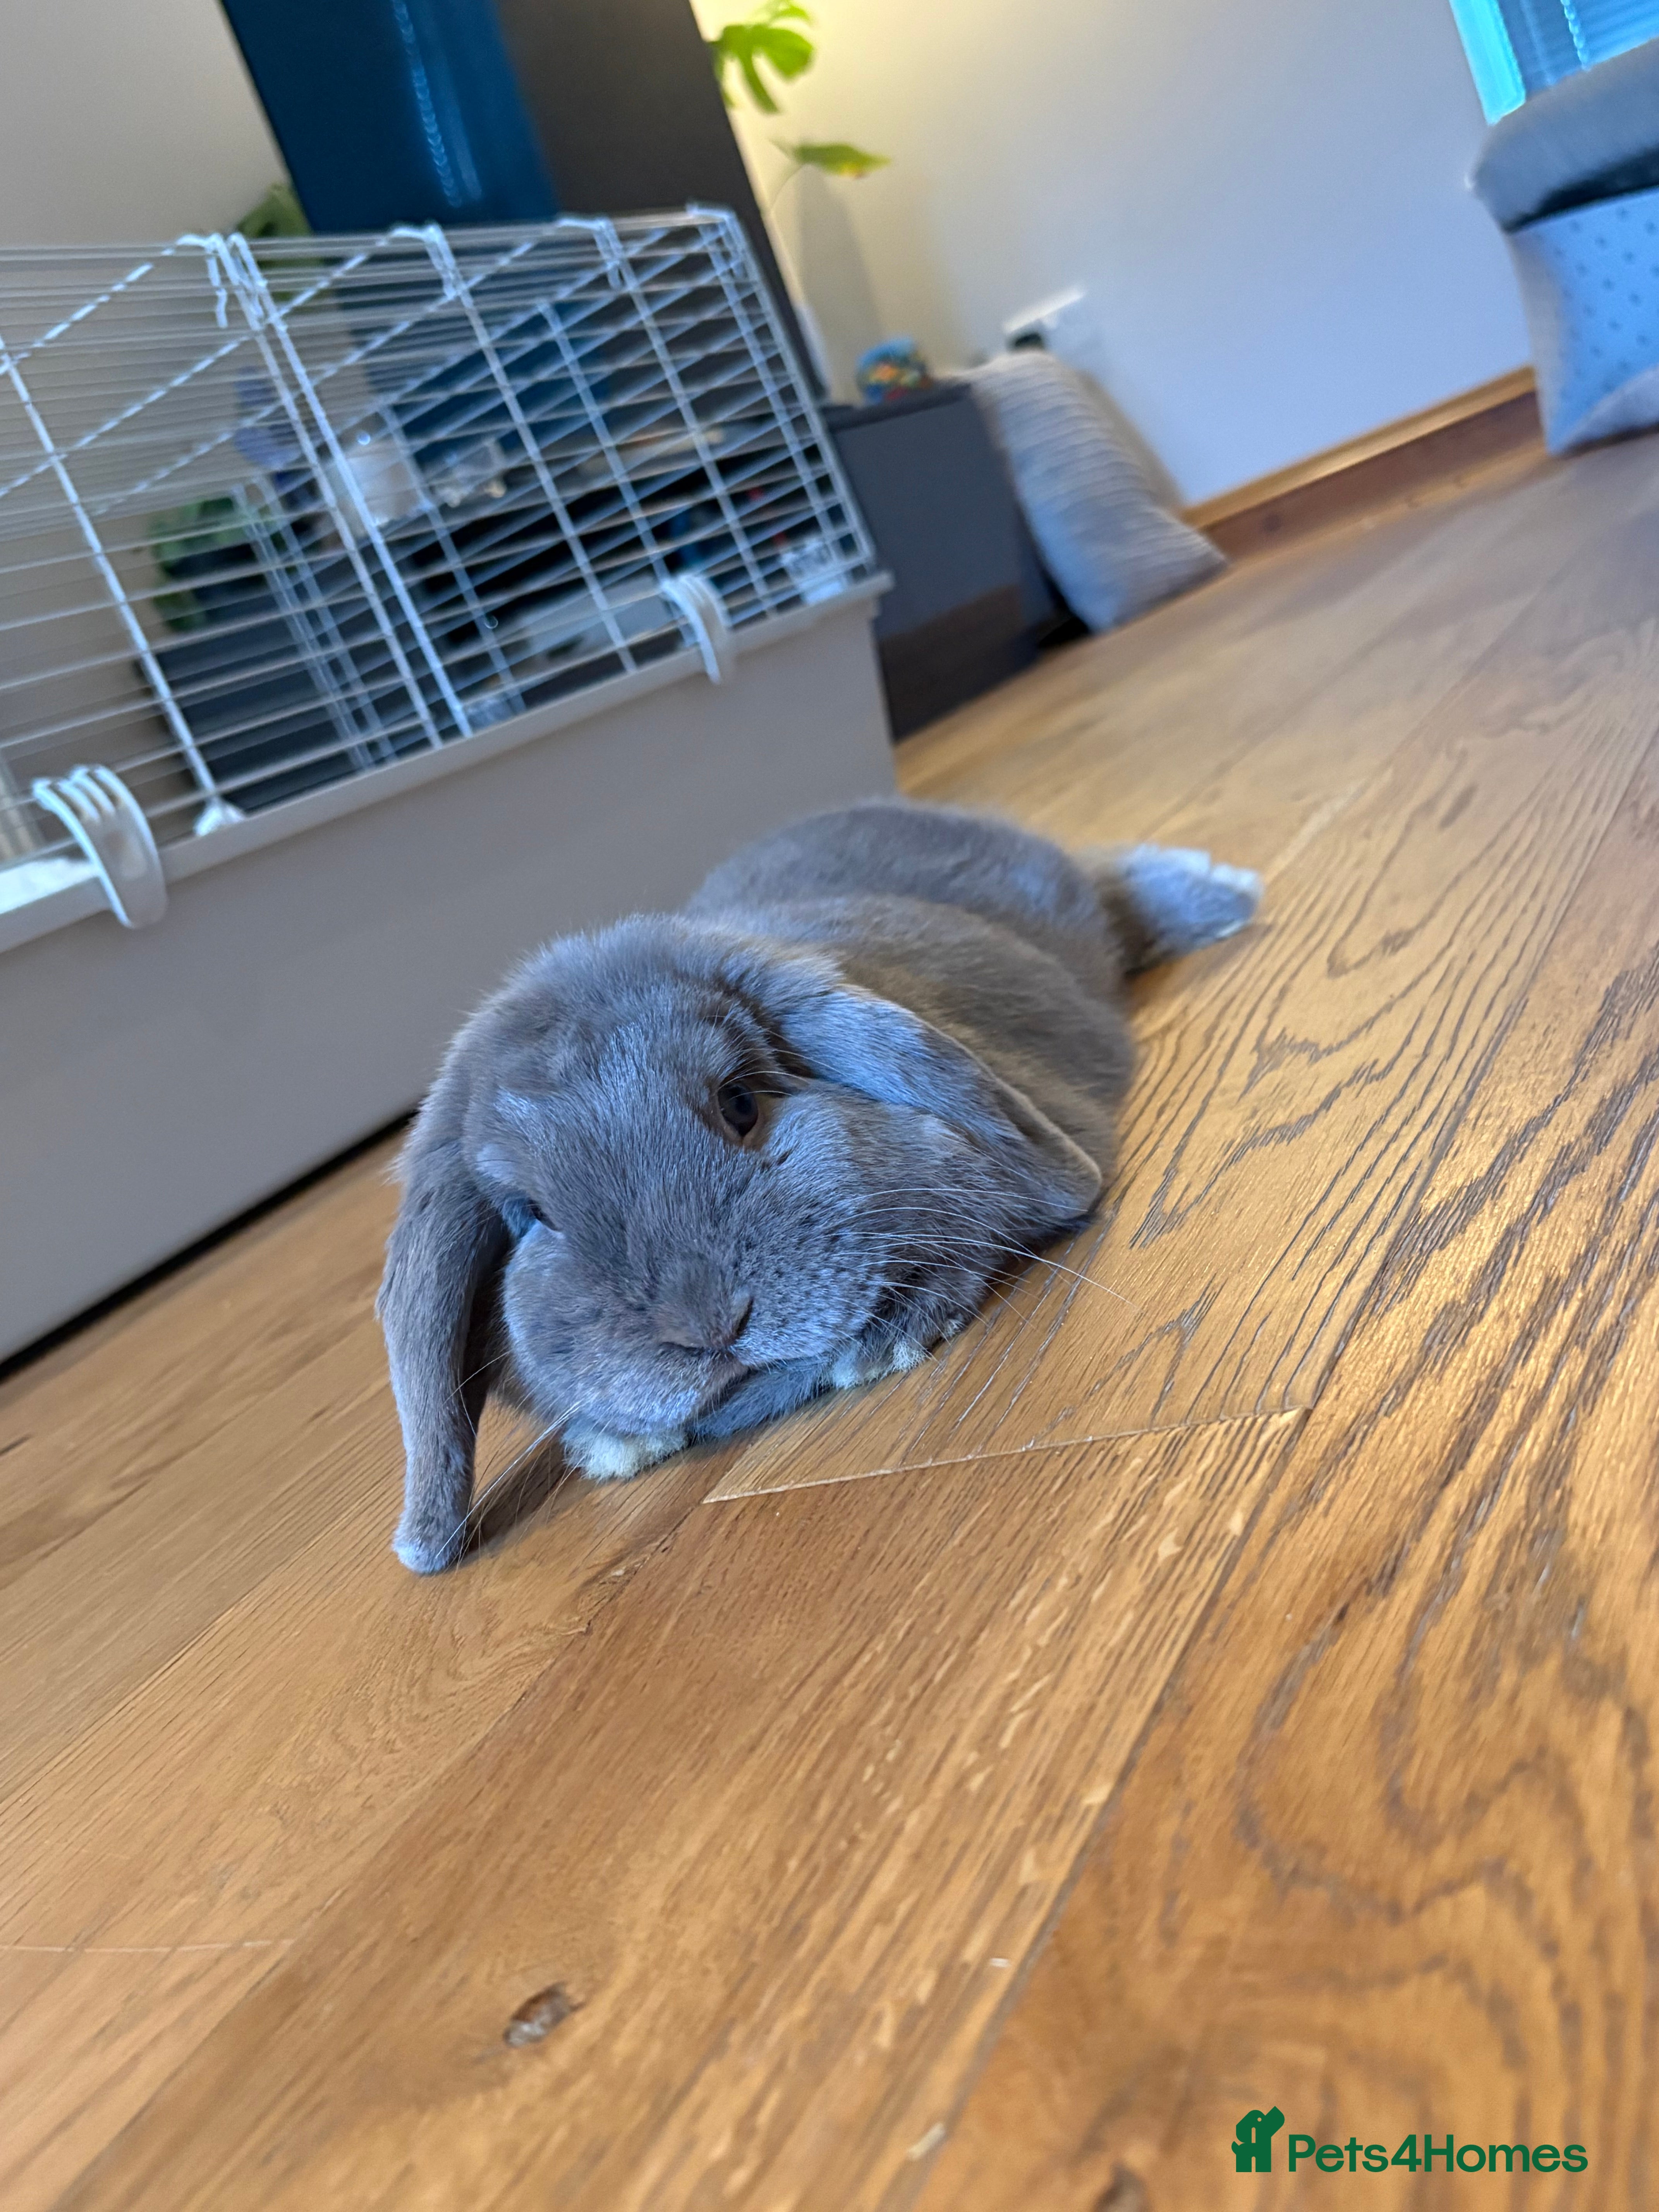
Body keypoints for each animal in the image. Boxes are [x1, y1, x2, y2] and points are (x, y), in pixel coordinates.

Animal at [379, 799, 1261, 1572]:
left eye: (740, 1101)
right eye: (532, 1215)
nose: (710, 1324)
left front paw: (885, 1340)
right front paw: (616, 1446)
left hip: (1064, 898)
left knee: (1117, 884)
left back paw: (1228, 897)